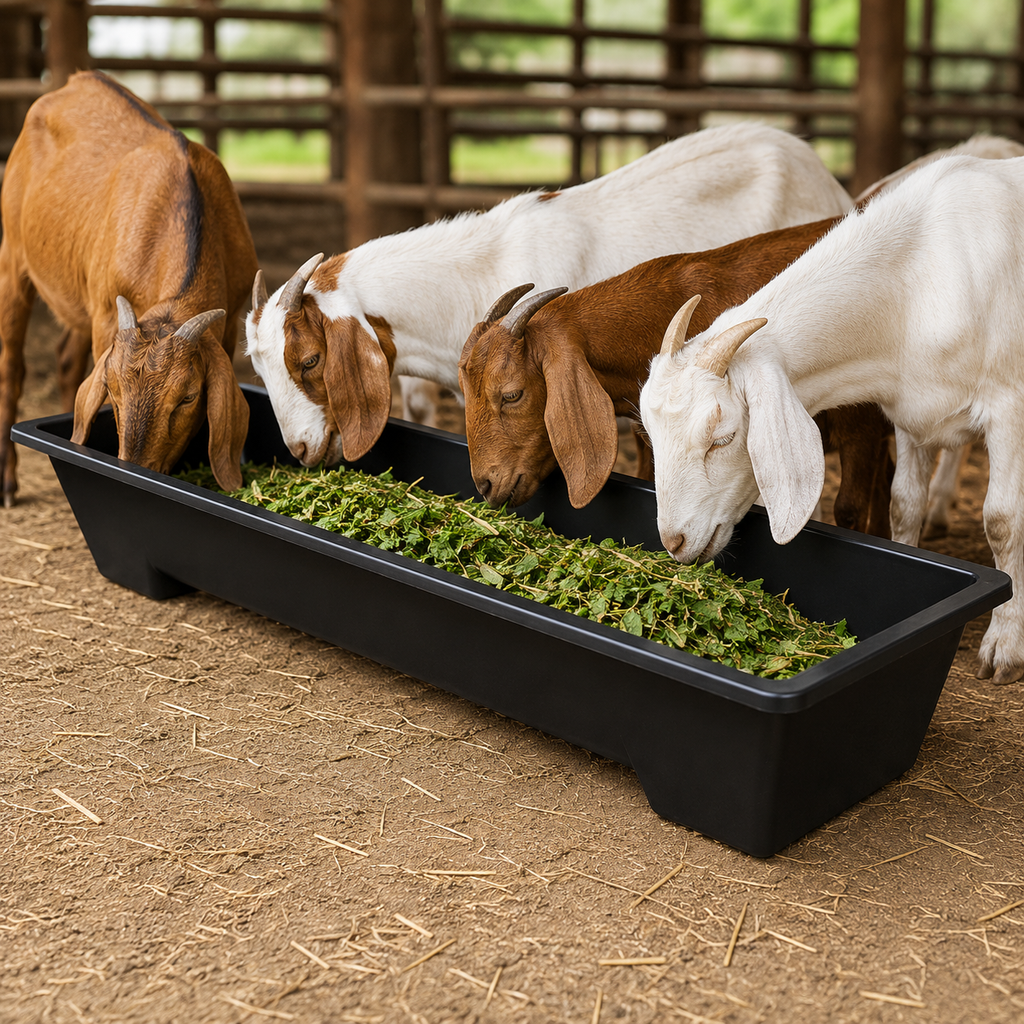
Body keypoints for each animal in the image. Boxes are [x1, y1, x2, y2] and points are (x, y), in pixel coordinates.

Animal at [0, 70, 257, 504]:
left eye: (189, 396)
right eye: (112, 388)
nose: (137, 470)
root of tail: (77, 79)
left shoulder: (230, 316)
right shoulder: (106, 314)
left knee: (66, 360)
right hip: (13, 254)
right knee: (11, 366)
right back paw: (7, 482)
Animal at [638, 153, 1024, 685]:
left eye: (723, 438)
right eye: (652, 437)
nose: (672, 541)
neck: (919, 280)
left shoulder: (1009, 407)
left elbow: (1003, 522)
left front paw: (1004, 646)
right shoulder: (912, 416)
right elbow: (904, 505)